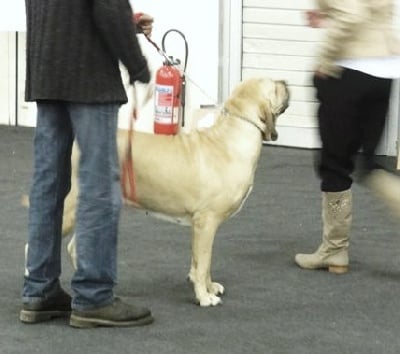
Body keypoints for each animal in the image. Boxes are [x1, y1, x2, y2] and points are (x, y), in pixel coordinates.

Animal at [29, 77, 290, 306]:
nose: (286, 82)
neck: (232, 136)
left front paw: (208, 286)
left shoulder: (201, 226)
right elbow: (204, 261)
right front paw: (204, 297)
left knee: (75, 247)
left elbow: (201, 262)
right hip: (72, 207)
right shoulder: (206, 222)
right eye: (274, 87)